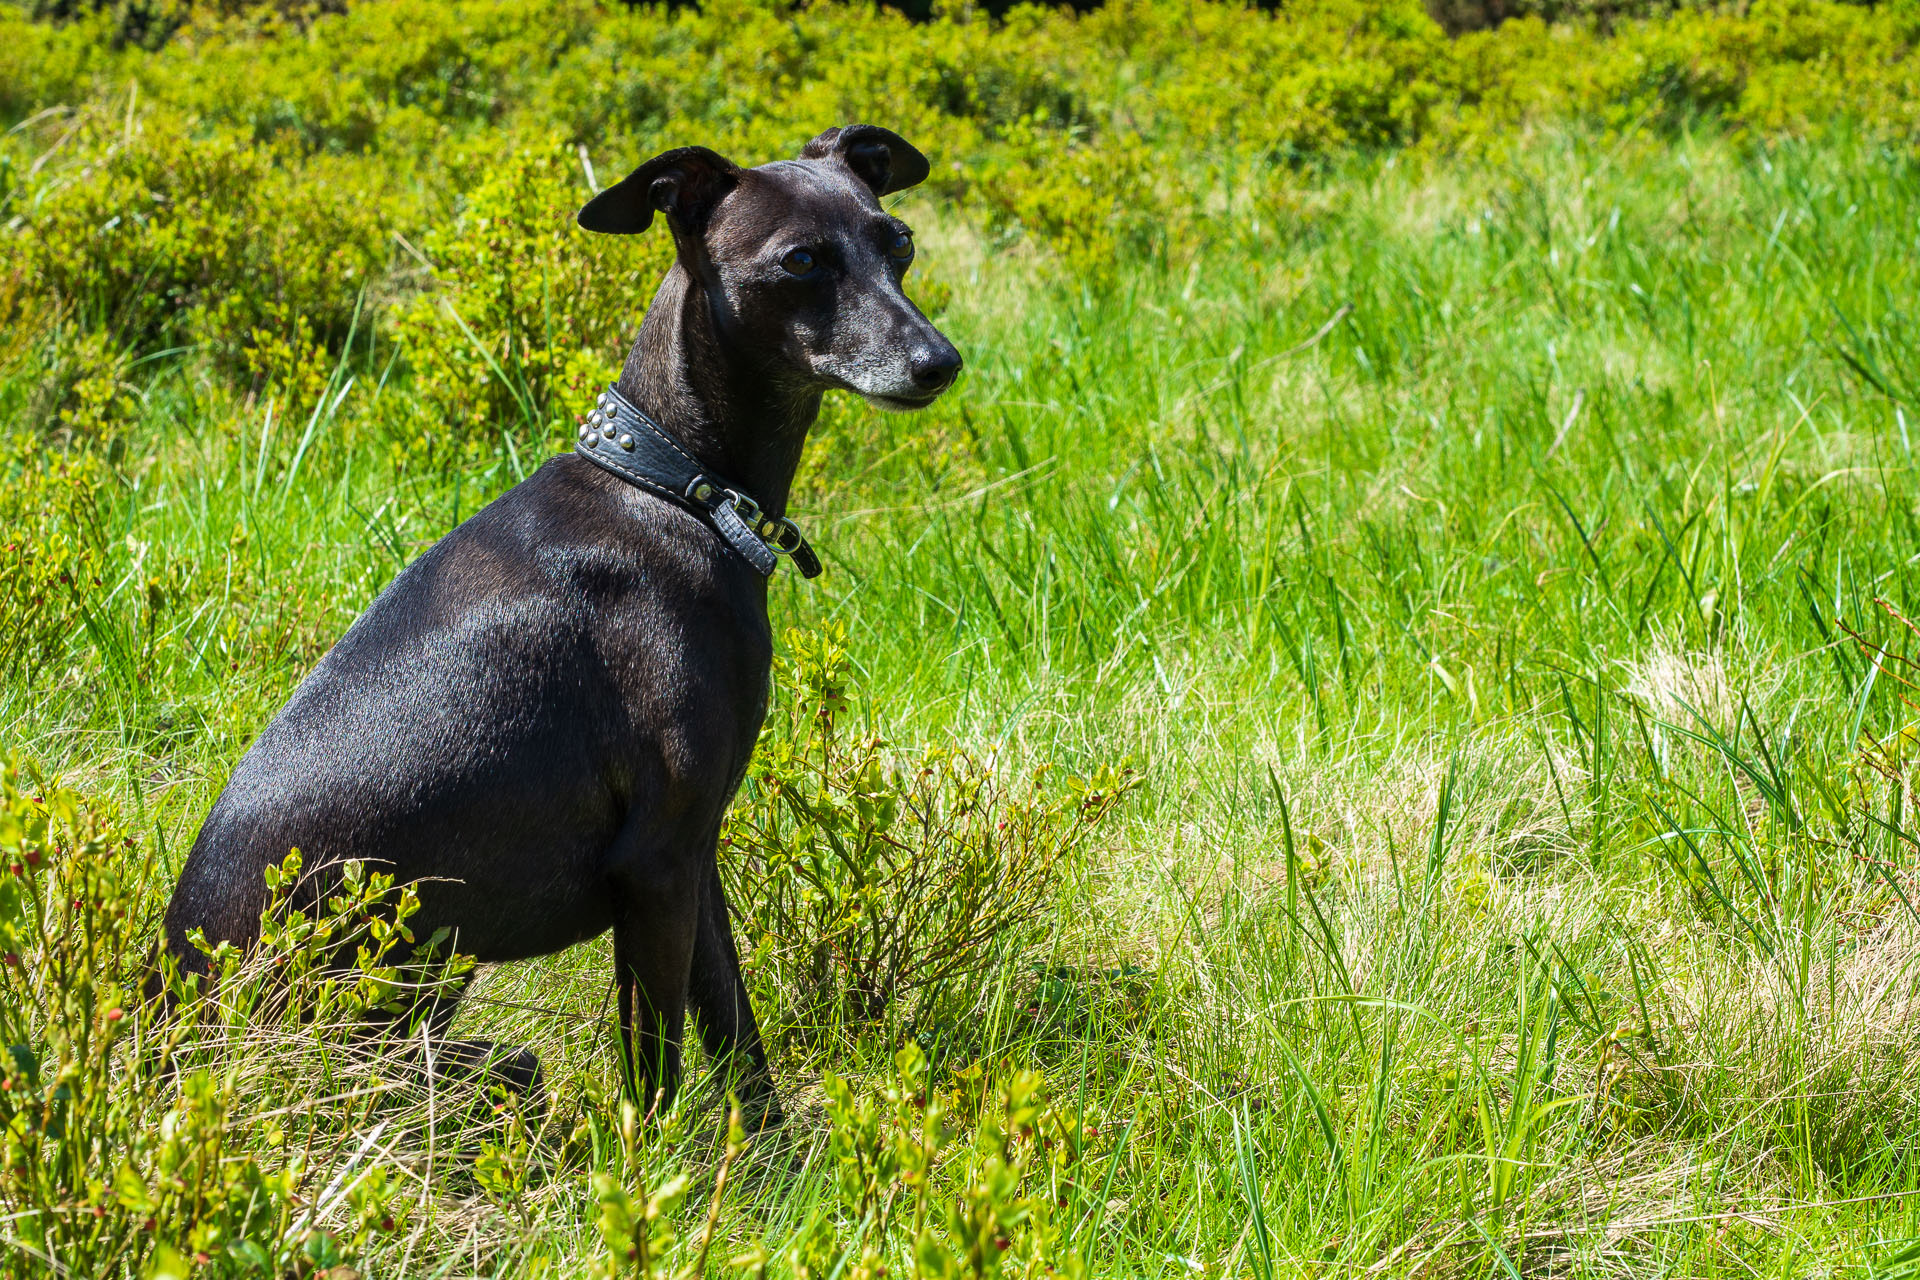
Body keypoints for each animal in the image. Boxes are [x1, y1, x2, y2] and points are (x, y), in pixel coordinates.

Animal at [157, 122, 960, 1120]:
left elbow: (736, 1035)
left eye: (899, 243)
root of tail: (160, 1041)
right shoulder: (654, 864)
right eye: (801, 260)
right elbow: (655, 1071)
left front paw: (771, 1152)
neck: (673, 488)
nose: (938, 362)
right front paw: (660, 1161)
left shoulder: (695, 853)